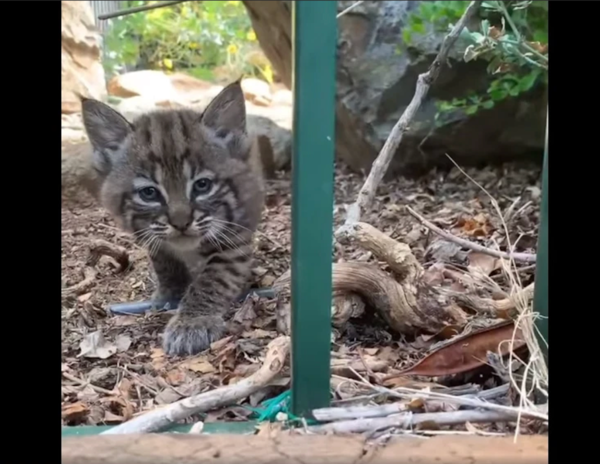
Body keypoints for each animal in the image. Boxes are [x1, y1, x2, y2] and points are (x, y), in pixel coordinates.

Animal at [81, 82, 262, 356]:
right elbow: (165, 264)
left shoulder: (234, 238)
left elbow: (213, 278)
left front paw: (191, 323)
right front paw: (168, 296)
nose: (181, 223)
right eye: (149, 193)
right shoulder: (153, 237)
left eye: (202, 185)